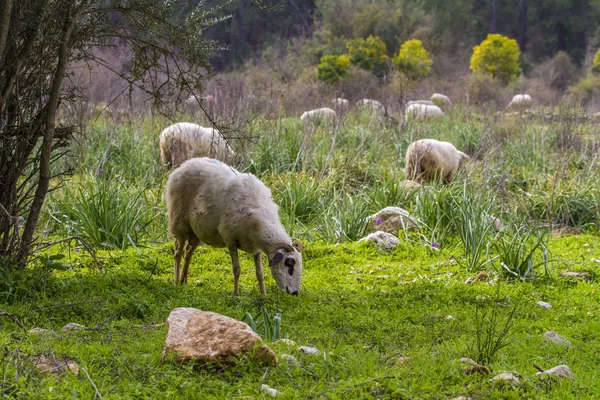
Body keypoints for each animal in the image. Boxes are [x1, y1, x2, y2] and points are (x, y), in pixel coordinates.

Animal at [165, 158, 302, 296]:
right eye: (289, 264)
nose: (295, 292)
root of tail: (183, 165)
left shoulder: (255, 248)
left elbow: (260, 273)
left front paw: (263, 293)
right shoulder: (230, 240)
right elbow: (237, 269)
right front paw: (236, 294)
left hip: (196, 230)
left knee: (188, 252)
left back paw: (184, 281)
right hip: (179, 221)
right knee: (178, 253)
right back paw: (176, 280)